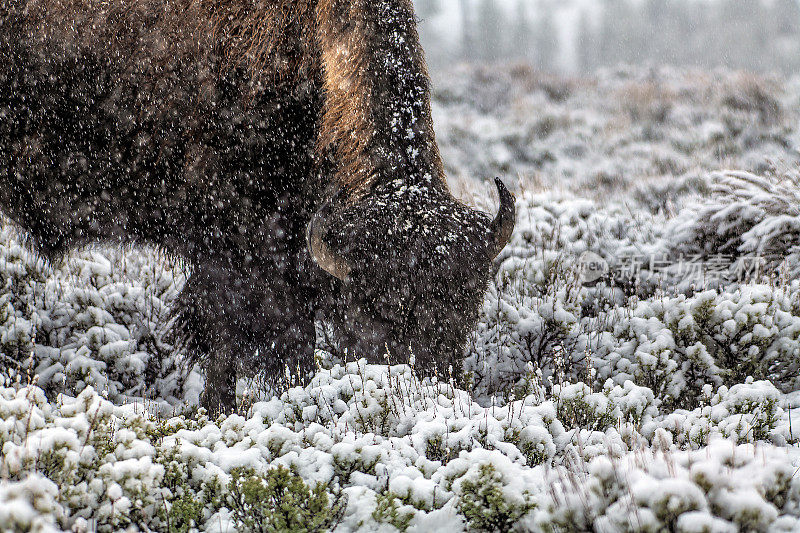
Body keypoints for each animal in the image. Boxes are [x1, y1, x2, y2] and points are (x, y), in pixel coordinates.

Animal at [0, 0, 512, 416]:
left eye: (466, 310)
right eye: (373, 313)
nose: (427, 390)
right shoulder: (234, 255)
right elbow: (230, 343)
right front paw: (220, 411)